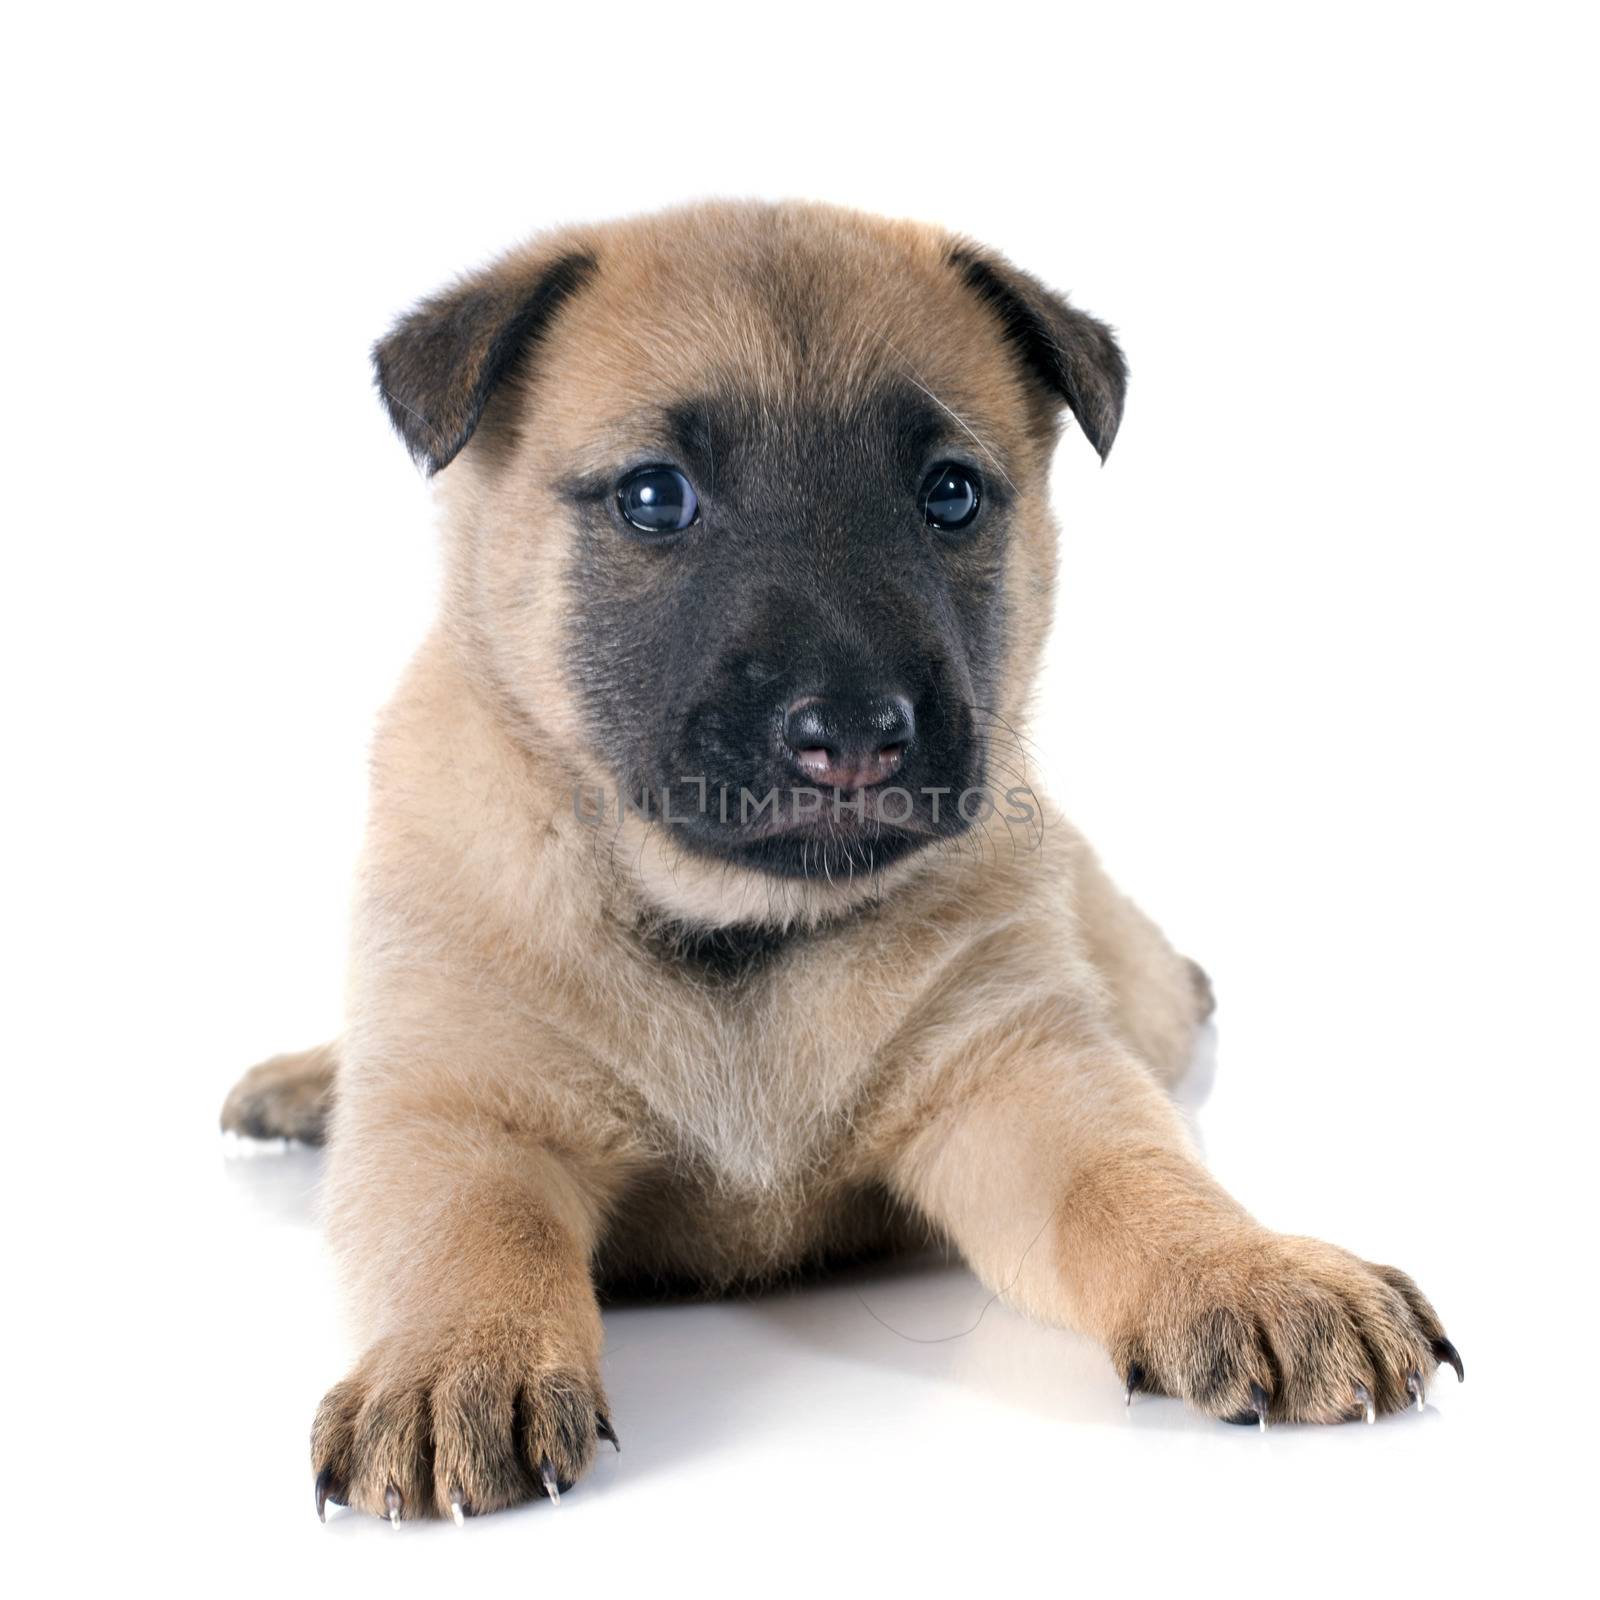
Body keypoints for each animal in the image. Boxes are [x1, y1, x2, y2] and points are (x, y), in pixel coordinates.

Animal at [222, 200, 1465, 1523]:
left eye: (950, 495)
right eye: (655, 496)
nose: (857, 738)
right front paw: (455, 1360)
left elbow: (1134, 1180)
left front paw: (1254, 1270)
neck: (738, 934)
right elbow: (465, 1232)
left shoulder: (1018, 1076)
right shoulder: (461, 1111)